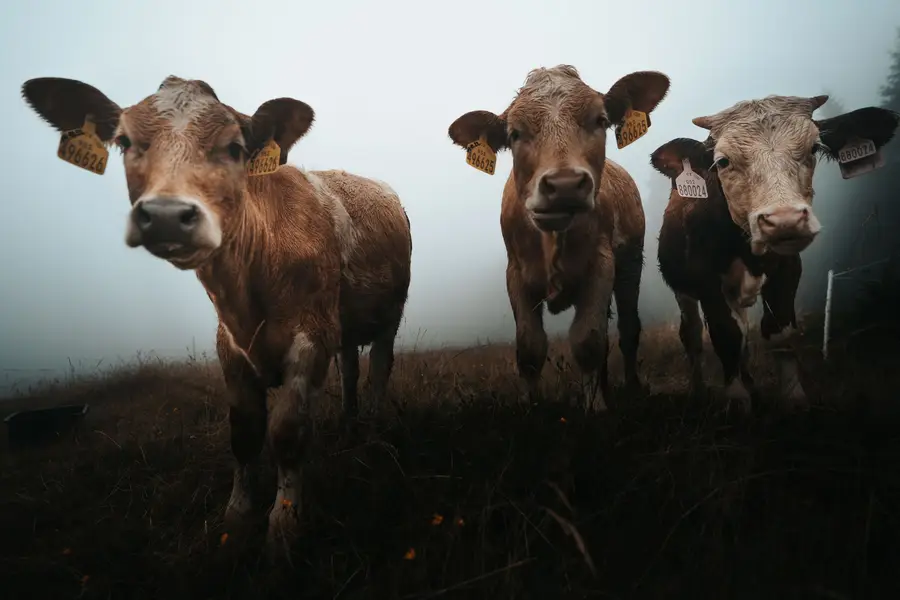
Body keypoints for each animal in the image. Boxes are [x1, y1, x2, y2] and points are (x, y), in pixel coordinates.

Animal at [21, 74, 414, 552]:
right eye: (125, 142)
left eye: (235, 147)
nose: (167, 216)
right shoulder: (230, 346)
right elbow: (244, 434)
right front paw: (237, 518)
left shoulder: (311, 337)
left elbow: (287, 431)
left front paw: (284, 524)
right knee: (352, 372)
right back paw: (348, 423)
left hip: (389, 315)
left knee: (379, 368)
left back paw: (373, 430)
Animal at [446, 65, 672, 412]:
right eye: (515, 133)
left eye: (600, 120)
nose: (565, 185)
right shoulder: (516, 274)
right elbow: (530, 347)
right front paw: (533, 406)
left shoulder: (601, 266)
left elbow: (588, 341)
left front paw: (595, 407)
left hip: (631, 262)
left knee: (628, 328)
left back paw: (632, 388)